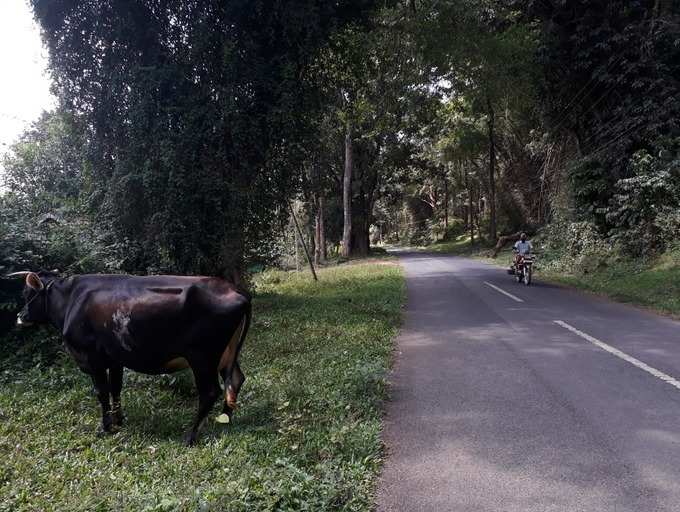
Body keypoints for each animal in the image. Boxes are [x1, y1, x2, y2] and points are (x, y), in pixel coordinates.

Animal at [7, 270, 252, 446]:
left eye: (28, 295)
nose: (20, 316)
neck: (71, 300)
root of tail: (235, 290)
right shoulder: (115, 358)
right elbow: (116, 388)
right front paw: (119, 420)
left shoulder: (92, 358)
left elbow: (102, 392)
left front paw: (106, 427)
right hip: (225, 354)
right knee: (235, 379)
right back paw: (225, 418)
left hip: (202, 357)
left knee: (210, 391)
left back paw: (190, 436)